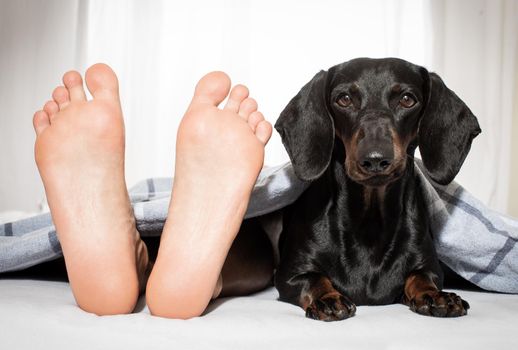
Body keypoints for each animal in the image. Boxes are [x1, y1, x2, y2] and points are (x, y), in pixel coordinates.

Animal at [274, 56, 482, 320]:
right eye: (344, 99)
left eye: (407, 99)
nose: (375, 159)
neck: (370, 221)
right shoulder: (290, 275)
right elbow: (314, 279)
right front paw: (328, 298)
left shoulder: (430, 267)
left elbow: (421, 277)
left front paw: (434, 295)